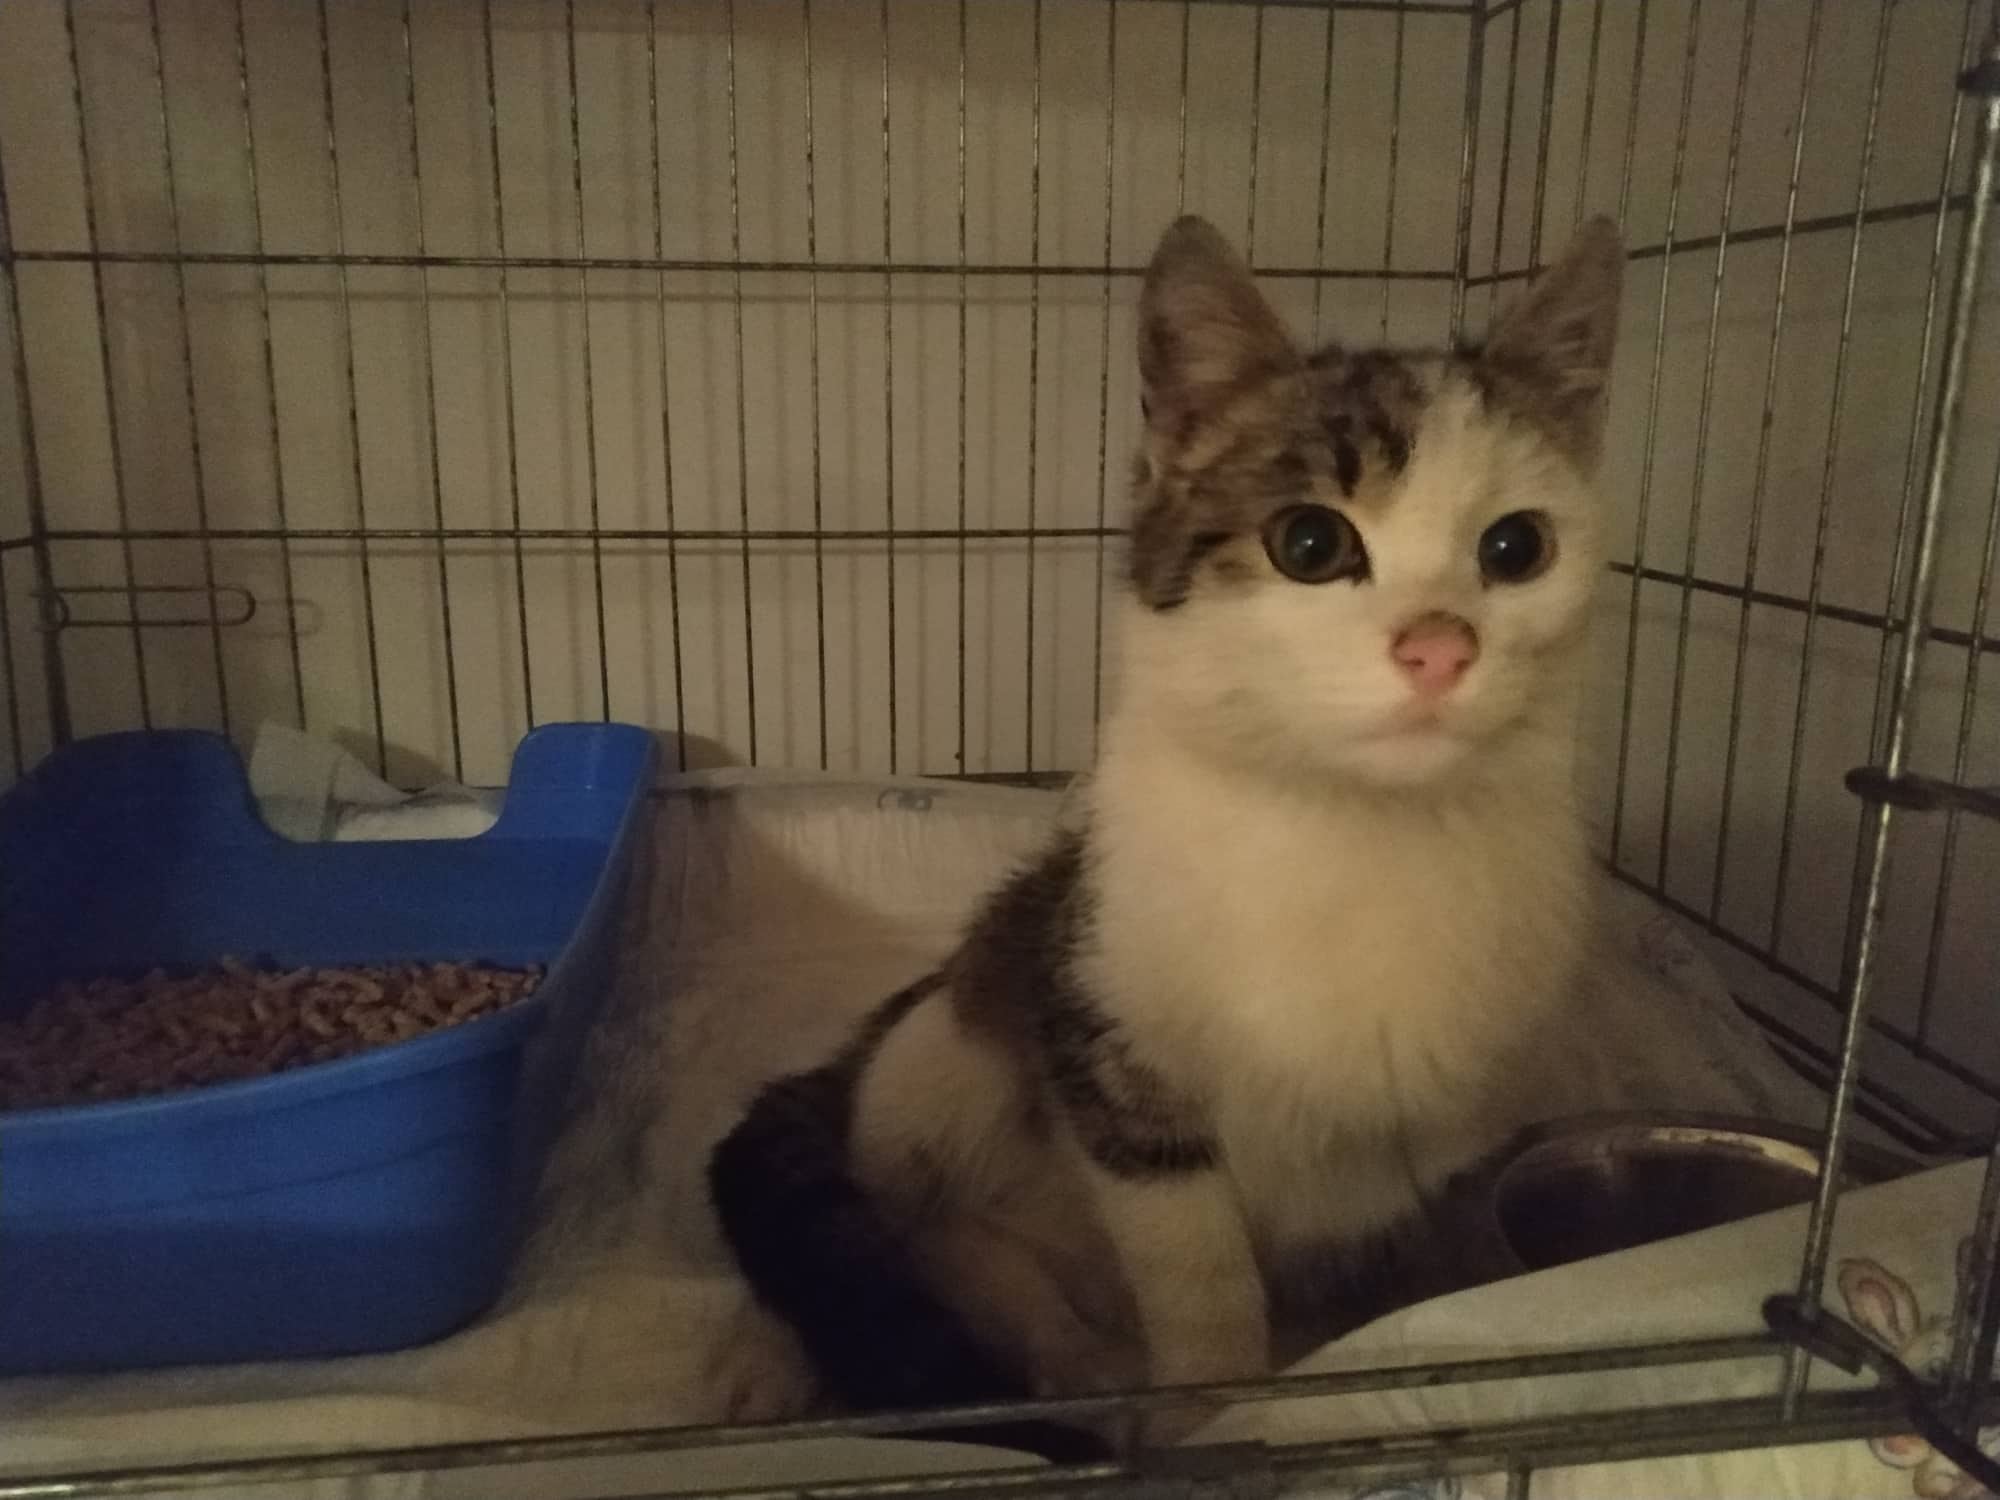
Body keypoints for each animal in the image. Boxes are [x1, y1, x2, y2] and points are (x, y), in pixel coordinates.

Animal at [709, 212, 1625, 1443]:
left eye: (1516, 549)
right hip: (959, 1032)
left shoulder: (1462, 1119)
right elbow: (1195, 1269)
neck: (1350, 832)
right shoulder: (1112, 1049)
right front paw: (1207, 1412)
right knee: (900, 1223)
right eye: (1308, 543)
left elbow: (1427, 1269)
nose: (1438, 647)